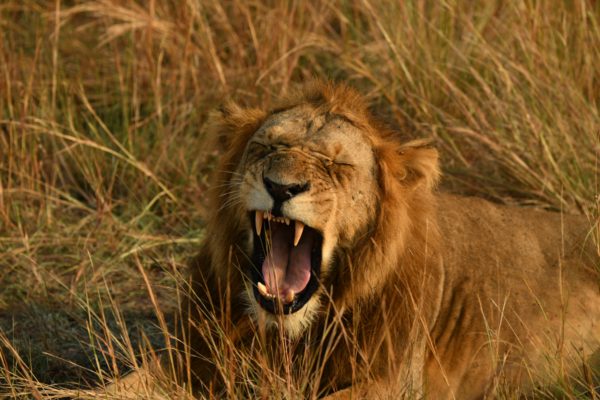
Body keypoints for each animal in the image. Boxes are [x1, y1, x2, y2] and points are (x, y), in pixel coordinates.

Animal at [111, 79, 600, 398]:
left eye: (337, 166)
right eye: (267, 148)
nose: (281, 188)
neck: (288, 333)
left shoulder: (391, 382)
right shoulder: (191, 357)